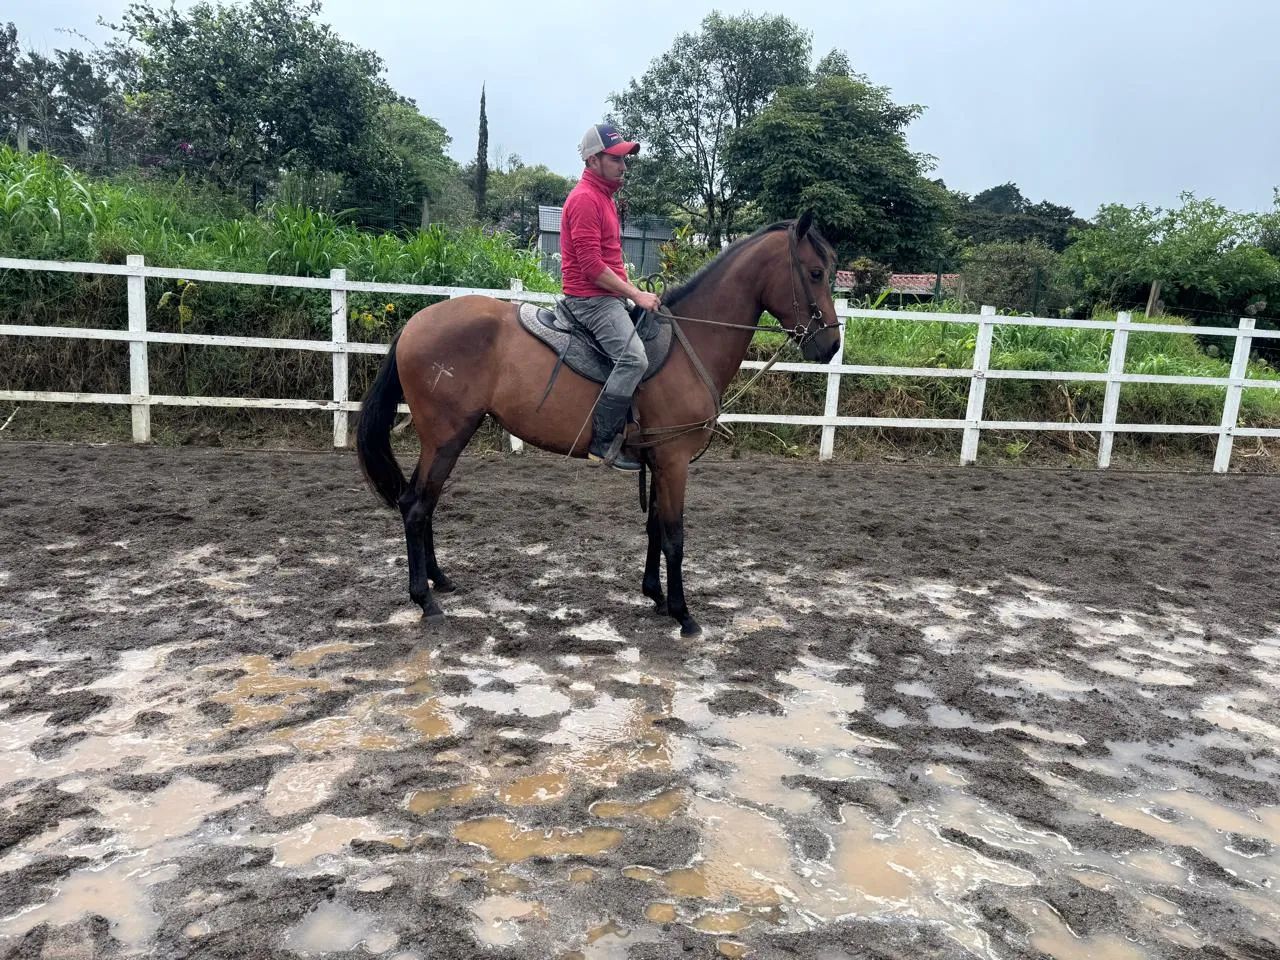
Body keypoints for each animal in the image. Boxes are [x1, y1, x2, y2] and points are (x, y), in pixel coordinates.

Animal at [356, 213, 840, 636]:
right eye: (816, 273)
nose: (832, 345)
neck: (689, 344)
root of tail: (416, 323)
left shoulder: (657, 460)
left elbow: (654, 527)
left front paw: (656, 596)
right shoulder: (674, 460)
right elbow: (675, 536)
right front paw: (683, 614)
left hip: (449, 438)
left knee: (421, 502)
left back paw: (438, 580)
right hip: (446, 437)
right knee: (416, 506)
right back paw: (426, 600)